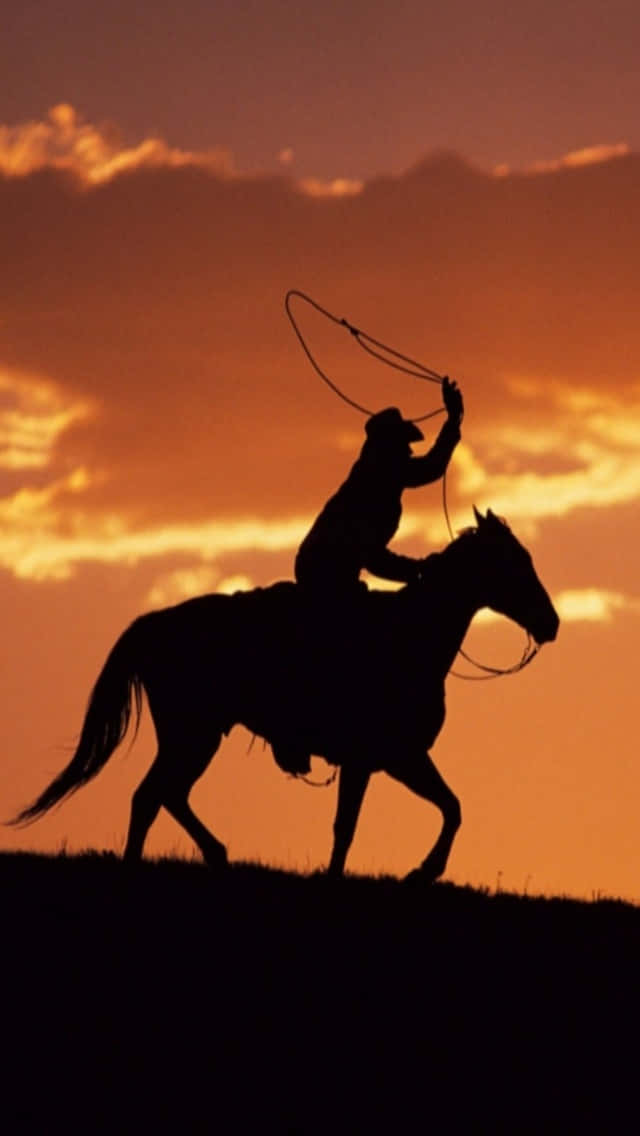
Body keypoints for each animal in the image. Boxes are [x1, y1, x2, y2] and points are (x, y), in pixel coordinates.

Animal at [12, 508, 559, 882]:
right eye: (515, 562)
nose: (551, 623)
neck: (409, 636)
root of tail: (155, 623)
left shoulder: (398, 759)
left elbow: (449, 807)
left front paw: (419, 871)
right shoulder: (379, 759)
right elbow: (354, 825)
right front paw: (416, 872)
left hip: (195, 737)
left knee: (166, 795)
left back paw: (214, 854)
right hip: (192, 735)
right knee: (152, 796)